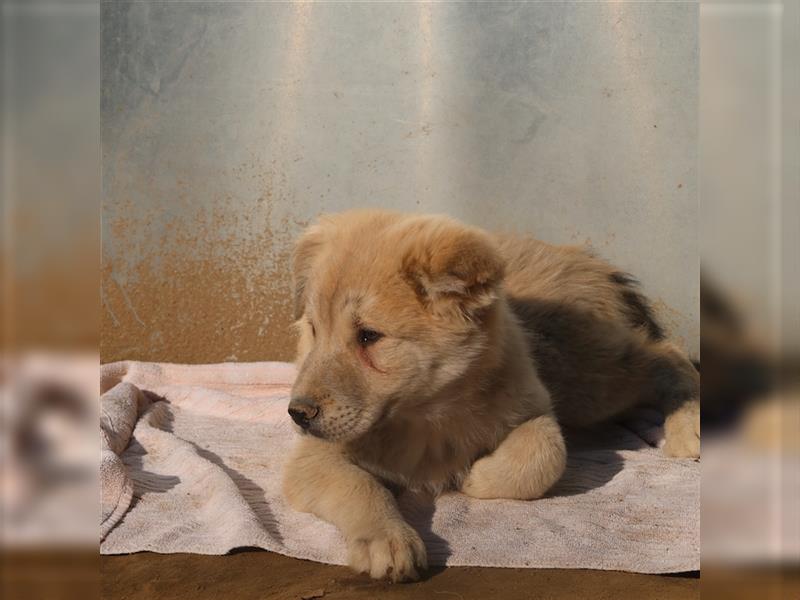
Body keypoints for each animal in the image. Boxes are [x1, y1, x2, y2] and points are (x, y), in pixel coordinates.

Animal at [282, 211, 700, 580]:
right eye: (314, 329)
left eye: (369, 336)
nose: (297, 414)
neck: (425, 413)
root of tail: (578, 256)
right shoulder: (313, 456)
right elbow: (359, 486)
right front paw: (388, 539)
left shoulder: (534, 410)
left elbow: (544, 455)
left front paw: (473, 478)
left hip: (587, 380)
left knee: (666, 355)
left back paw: (690, 430)